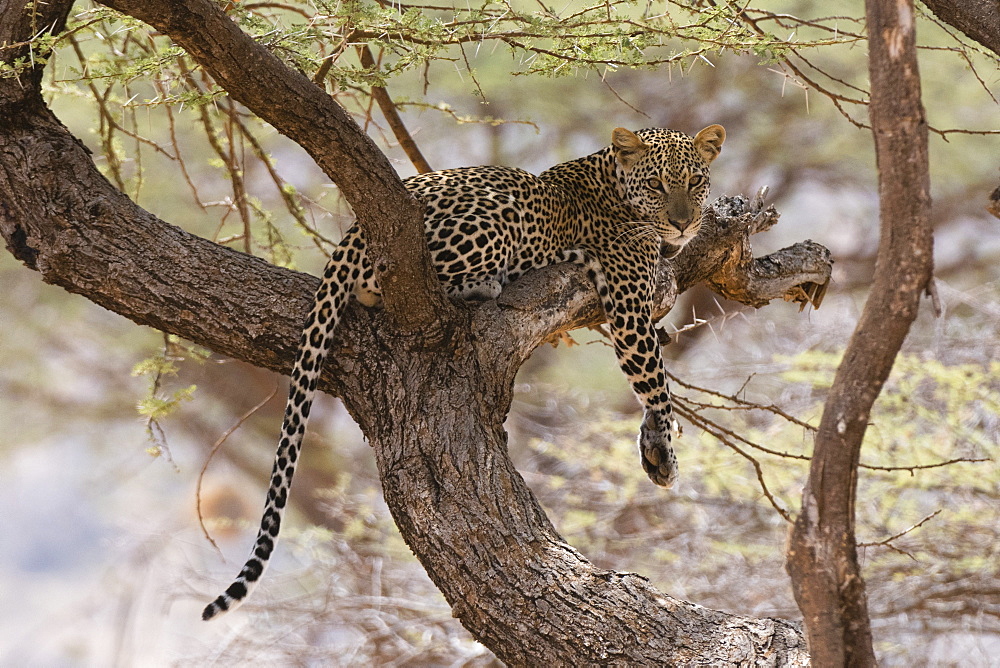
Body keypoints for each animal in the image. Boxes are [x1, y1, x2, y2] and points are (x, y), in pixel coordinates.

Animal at [199, 122, 724, 620]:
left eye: (696, 182)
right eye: (656, 185)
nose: (683, 224)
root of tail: (352, 234)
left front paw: (651, 442)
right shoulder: (629, 302)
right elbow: (653, 379)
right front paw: (666, 446)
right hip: (498, 214)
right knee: (395, 285)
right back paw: (487, 283)